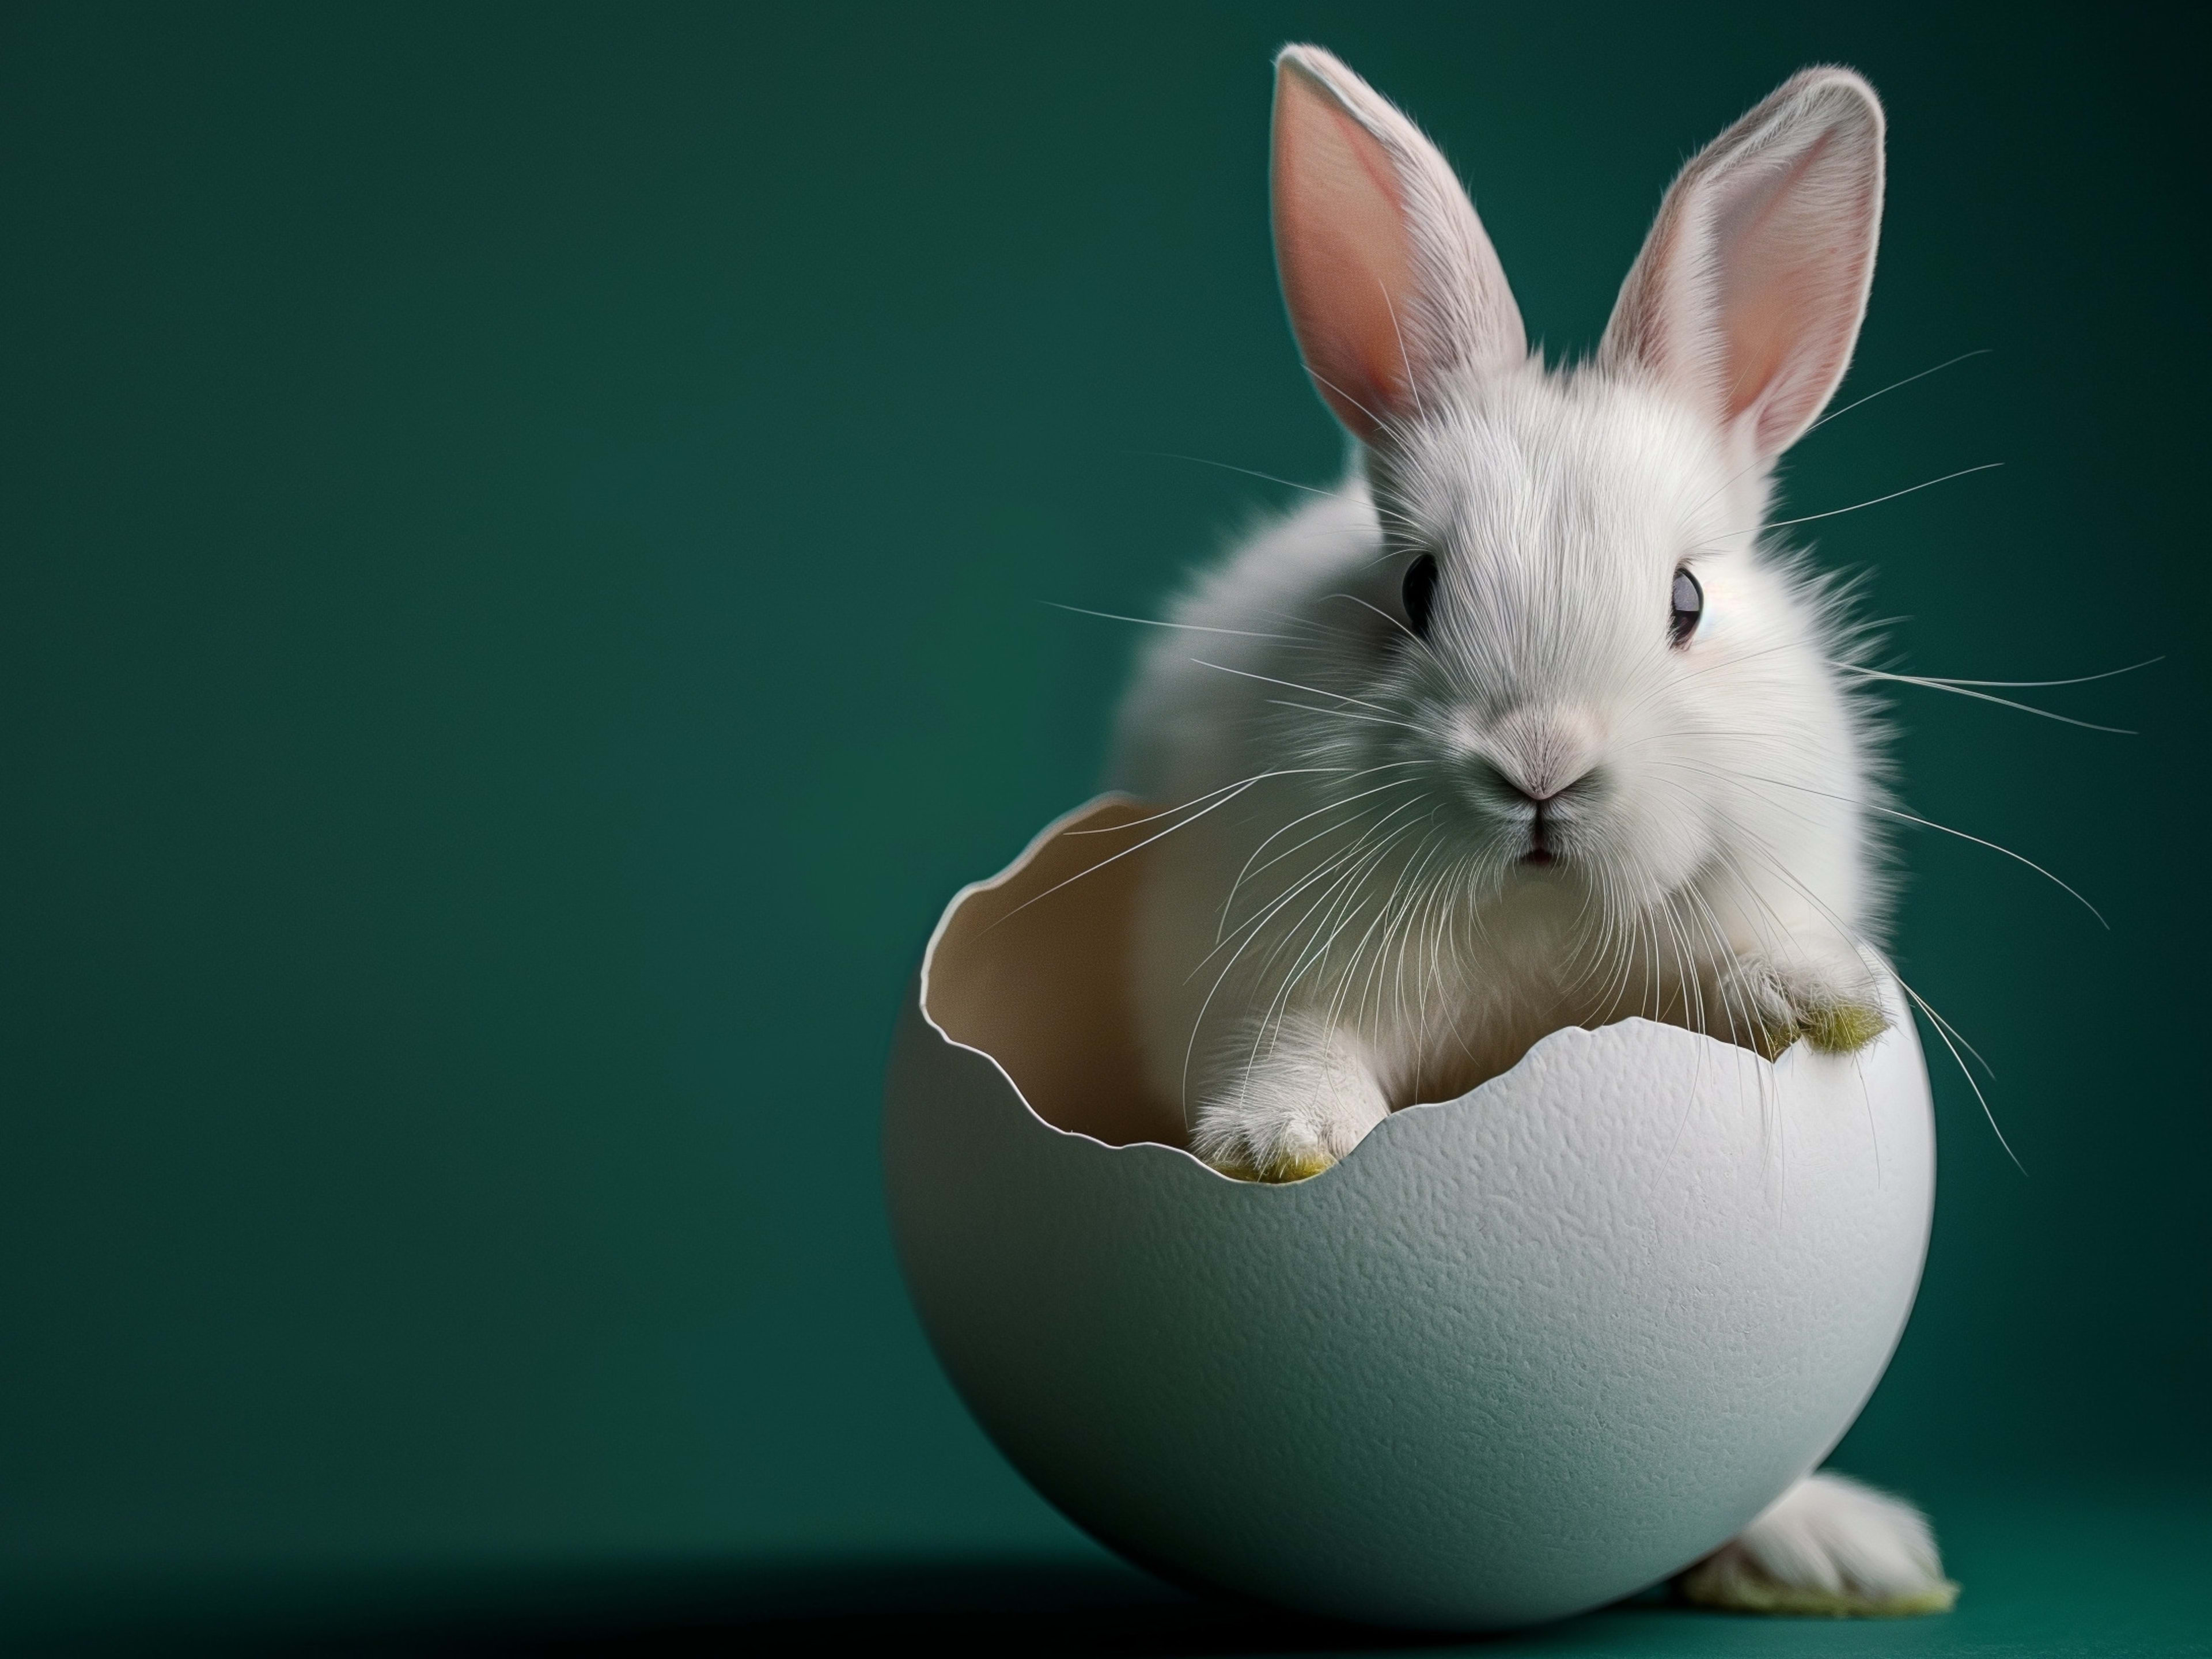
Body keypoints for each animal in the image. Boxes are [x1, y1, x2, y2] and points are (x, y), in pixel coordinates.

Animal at [1110, 47, 1955, 1616]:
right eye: (1417, 590)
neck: (1537, 915)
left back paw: (1830, 1546)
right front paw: (1278, 1141)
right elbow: (1299, 1041)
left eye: (1687, 599)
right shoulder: (1261, 962)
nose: (1541, 767)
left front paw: (1828, 1001)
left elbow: (1754, 964)